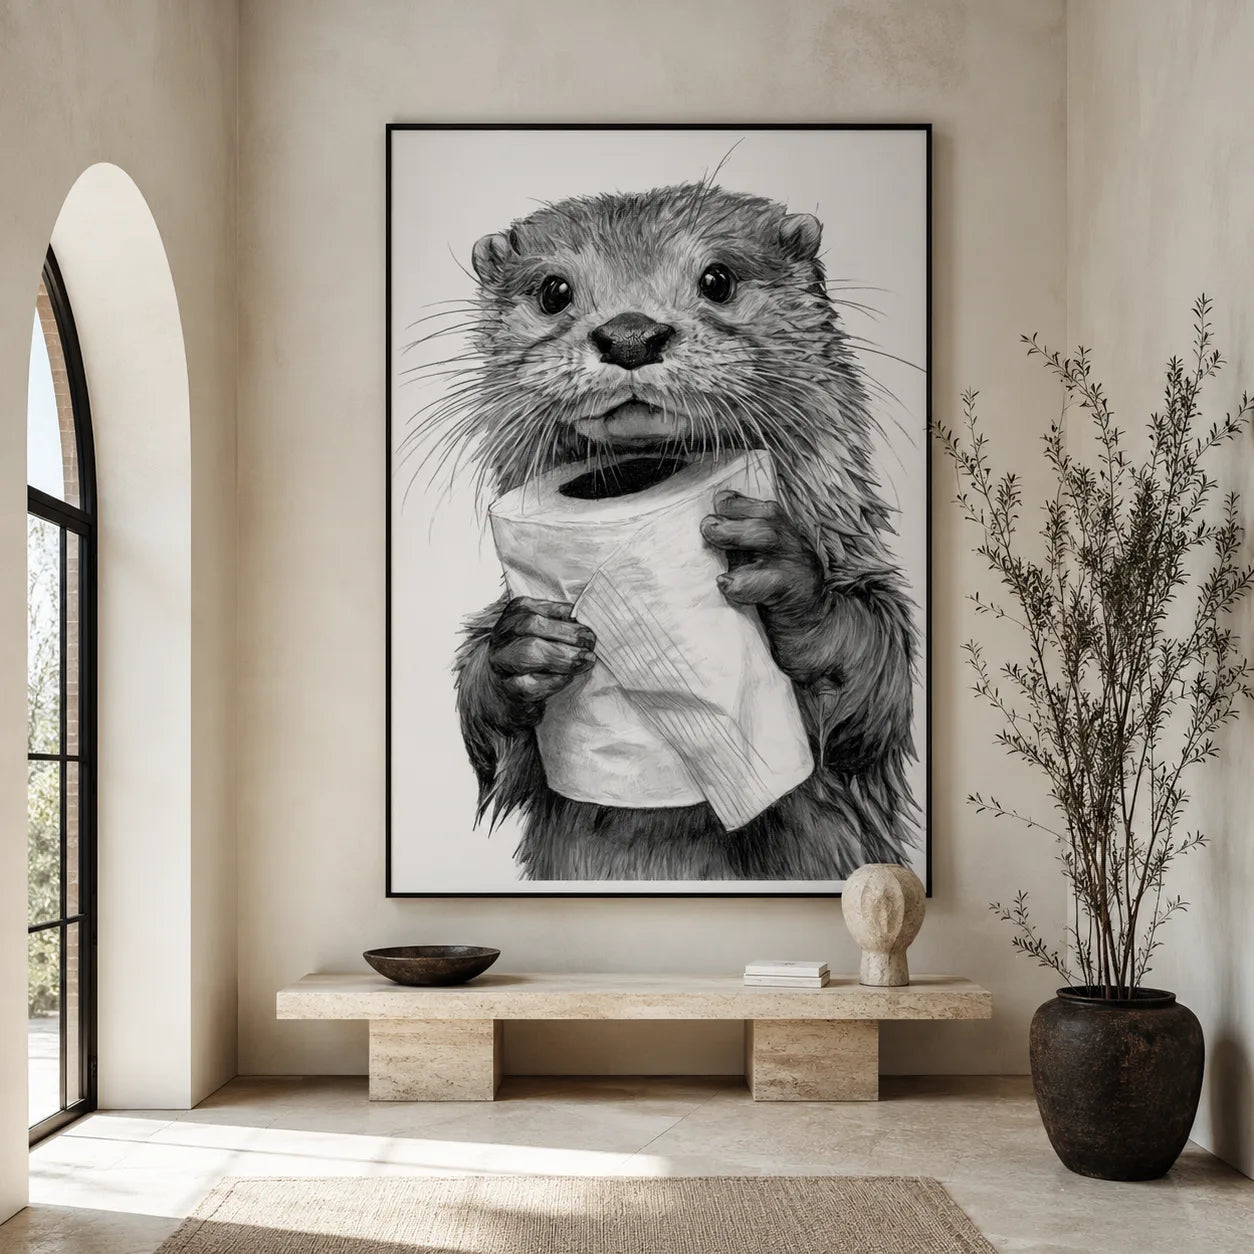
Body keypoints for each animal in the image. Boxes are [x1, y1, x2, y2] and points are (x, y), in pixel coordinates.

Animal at [440, 181, 918, 880]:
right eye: (554, 290)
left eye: (717, 278)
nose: (631, 333)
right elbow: (502, 751)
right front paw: (520, 648)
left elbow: (874, 684)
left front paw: (783, 573)